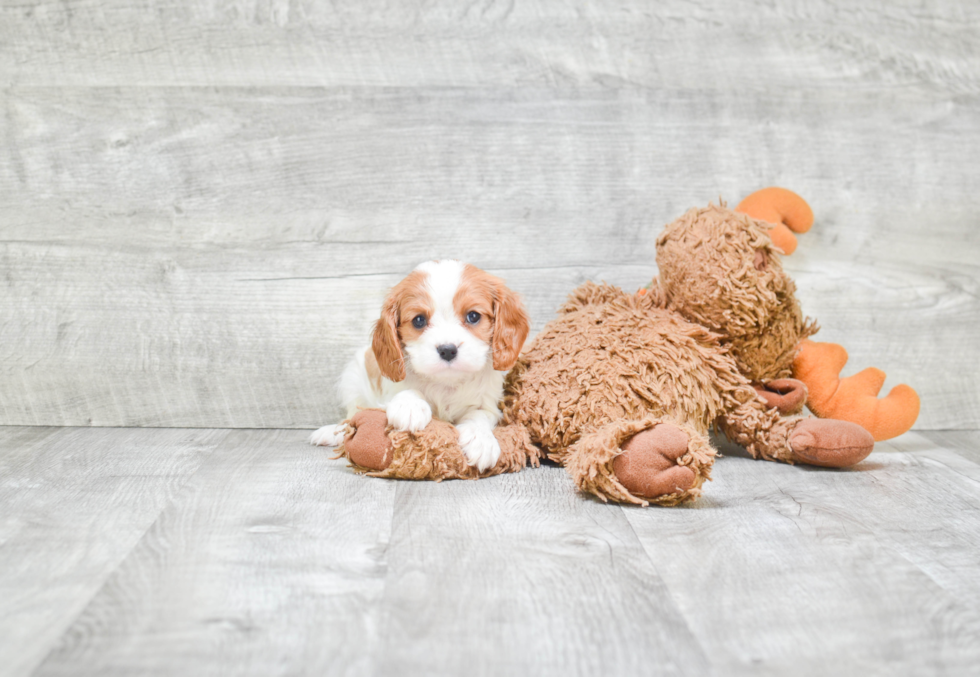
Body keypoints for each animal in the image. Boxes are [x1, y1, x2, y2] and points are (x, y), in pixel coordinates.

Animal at [312, 258, 528, 470]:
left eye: (473, 316)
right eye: (419, 320)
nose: (447, 349)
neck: (446, 383)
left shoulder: (489, 405)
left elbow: (479, 415)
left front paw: (481, 440)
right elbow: (406, 391)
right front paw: (410, 406)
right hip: (353, 377)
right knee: (351, 417)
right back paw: (332, 432)